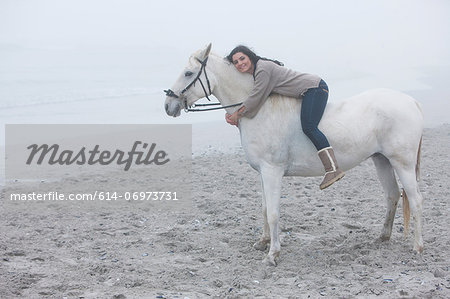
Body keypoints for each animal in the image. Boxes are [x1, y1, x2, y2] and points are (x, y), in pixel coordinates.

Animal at [163, 43, 424, 266]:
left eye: (188, 73)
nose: (168, 105)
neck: (260, 110)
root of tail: (411, 101)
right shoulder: (263, 173)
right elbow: (264, 209)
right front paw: (263, 242)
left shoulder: (272, 171)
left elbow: (274, 213)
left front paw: (272, 255)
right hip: (382, 160)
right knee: (392, 195)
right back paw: (382, 237)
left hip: (402, 164)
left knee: (415, 200)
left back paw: (418, 247)